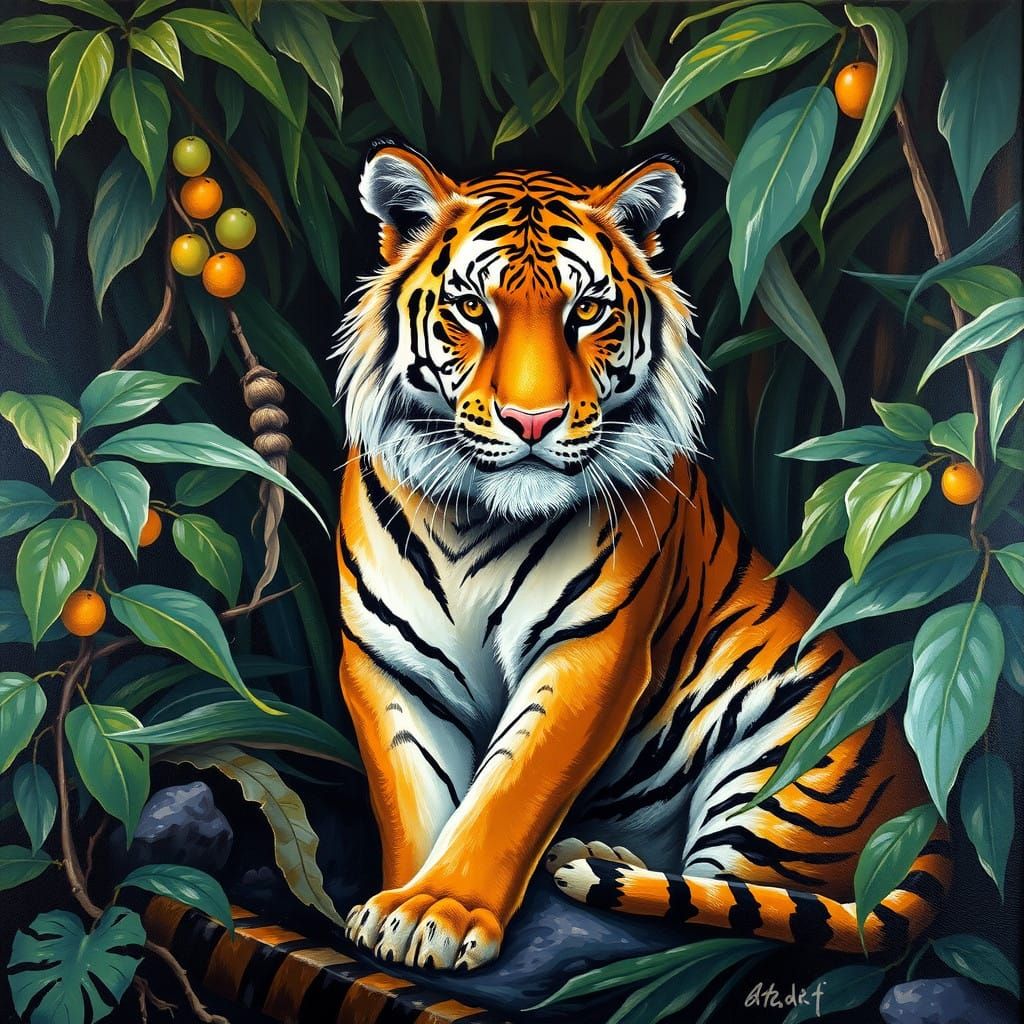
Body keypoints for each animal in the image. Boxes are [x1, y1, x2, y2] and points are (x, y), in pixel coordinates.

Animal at [333, 143, 950, 974]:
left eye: (587, 310)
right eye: (472, 309)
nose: (533, 420)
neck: (475, 521)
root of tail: (927, 813)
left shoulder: (590, 649)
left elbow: (507, 792)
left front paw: (442, 911)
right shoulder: (390, 662)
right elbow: (416, 801)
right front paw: (401, 907)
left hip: (783, 773)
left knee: (740, 905)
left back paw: (595, 867)